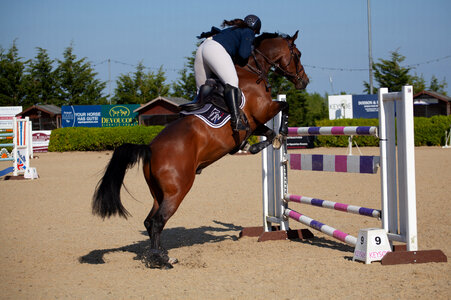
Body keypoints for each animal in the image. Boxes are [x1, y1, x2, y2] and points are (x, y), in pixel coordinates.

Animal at [92, 31, 310, 270]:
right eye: (298, 54)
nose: (305, 81)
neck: (253, 72)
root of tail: (149, 148)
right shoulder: (263, 109)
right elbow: (284, 106)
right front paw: (282, 131)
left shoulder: (254, 122)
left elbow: (266, 133)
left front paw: (259, 144)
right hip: (178, 190)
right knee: (158, 221)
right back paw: (160, 260)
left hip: (159, 192)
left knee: (150, 221)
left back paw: (163, 254)